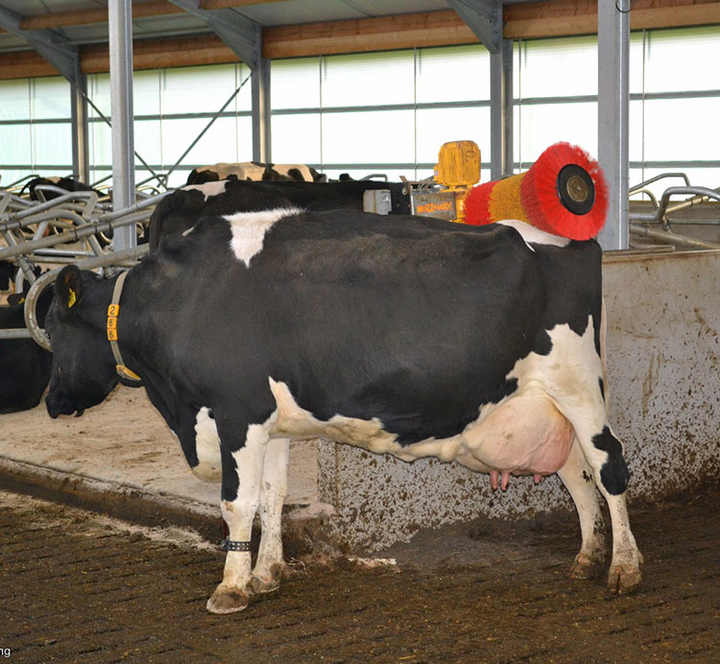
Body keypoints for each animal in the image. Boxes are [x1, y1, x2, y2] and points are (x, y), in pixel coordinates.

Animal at [44, 192, 643, 614]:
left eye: (54, 329)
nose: (50, 401)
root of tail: (575, 242)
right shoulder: (272, 424)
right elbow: (271, 499)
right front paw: (267, 574)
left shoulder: (237, 412)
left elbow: (237, 503)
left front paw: (232, 587)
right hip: (545, 403)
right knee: (576, 473)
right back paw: (588, 557)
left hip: (578, 383)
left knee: (609, 466)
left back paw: (624, 568)